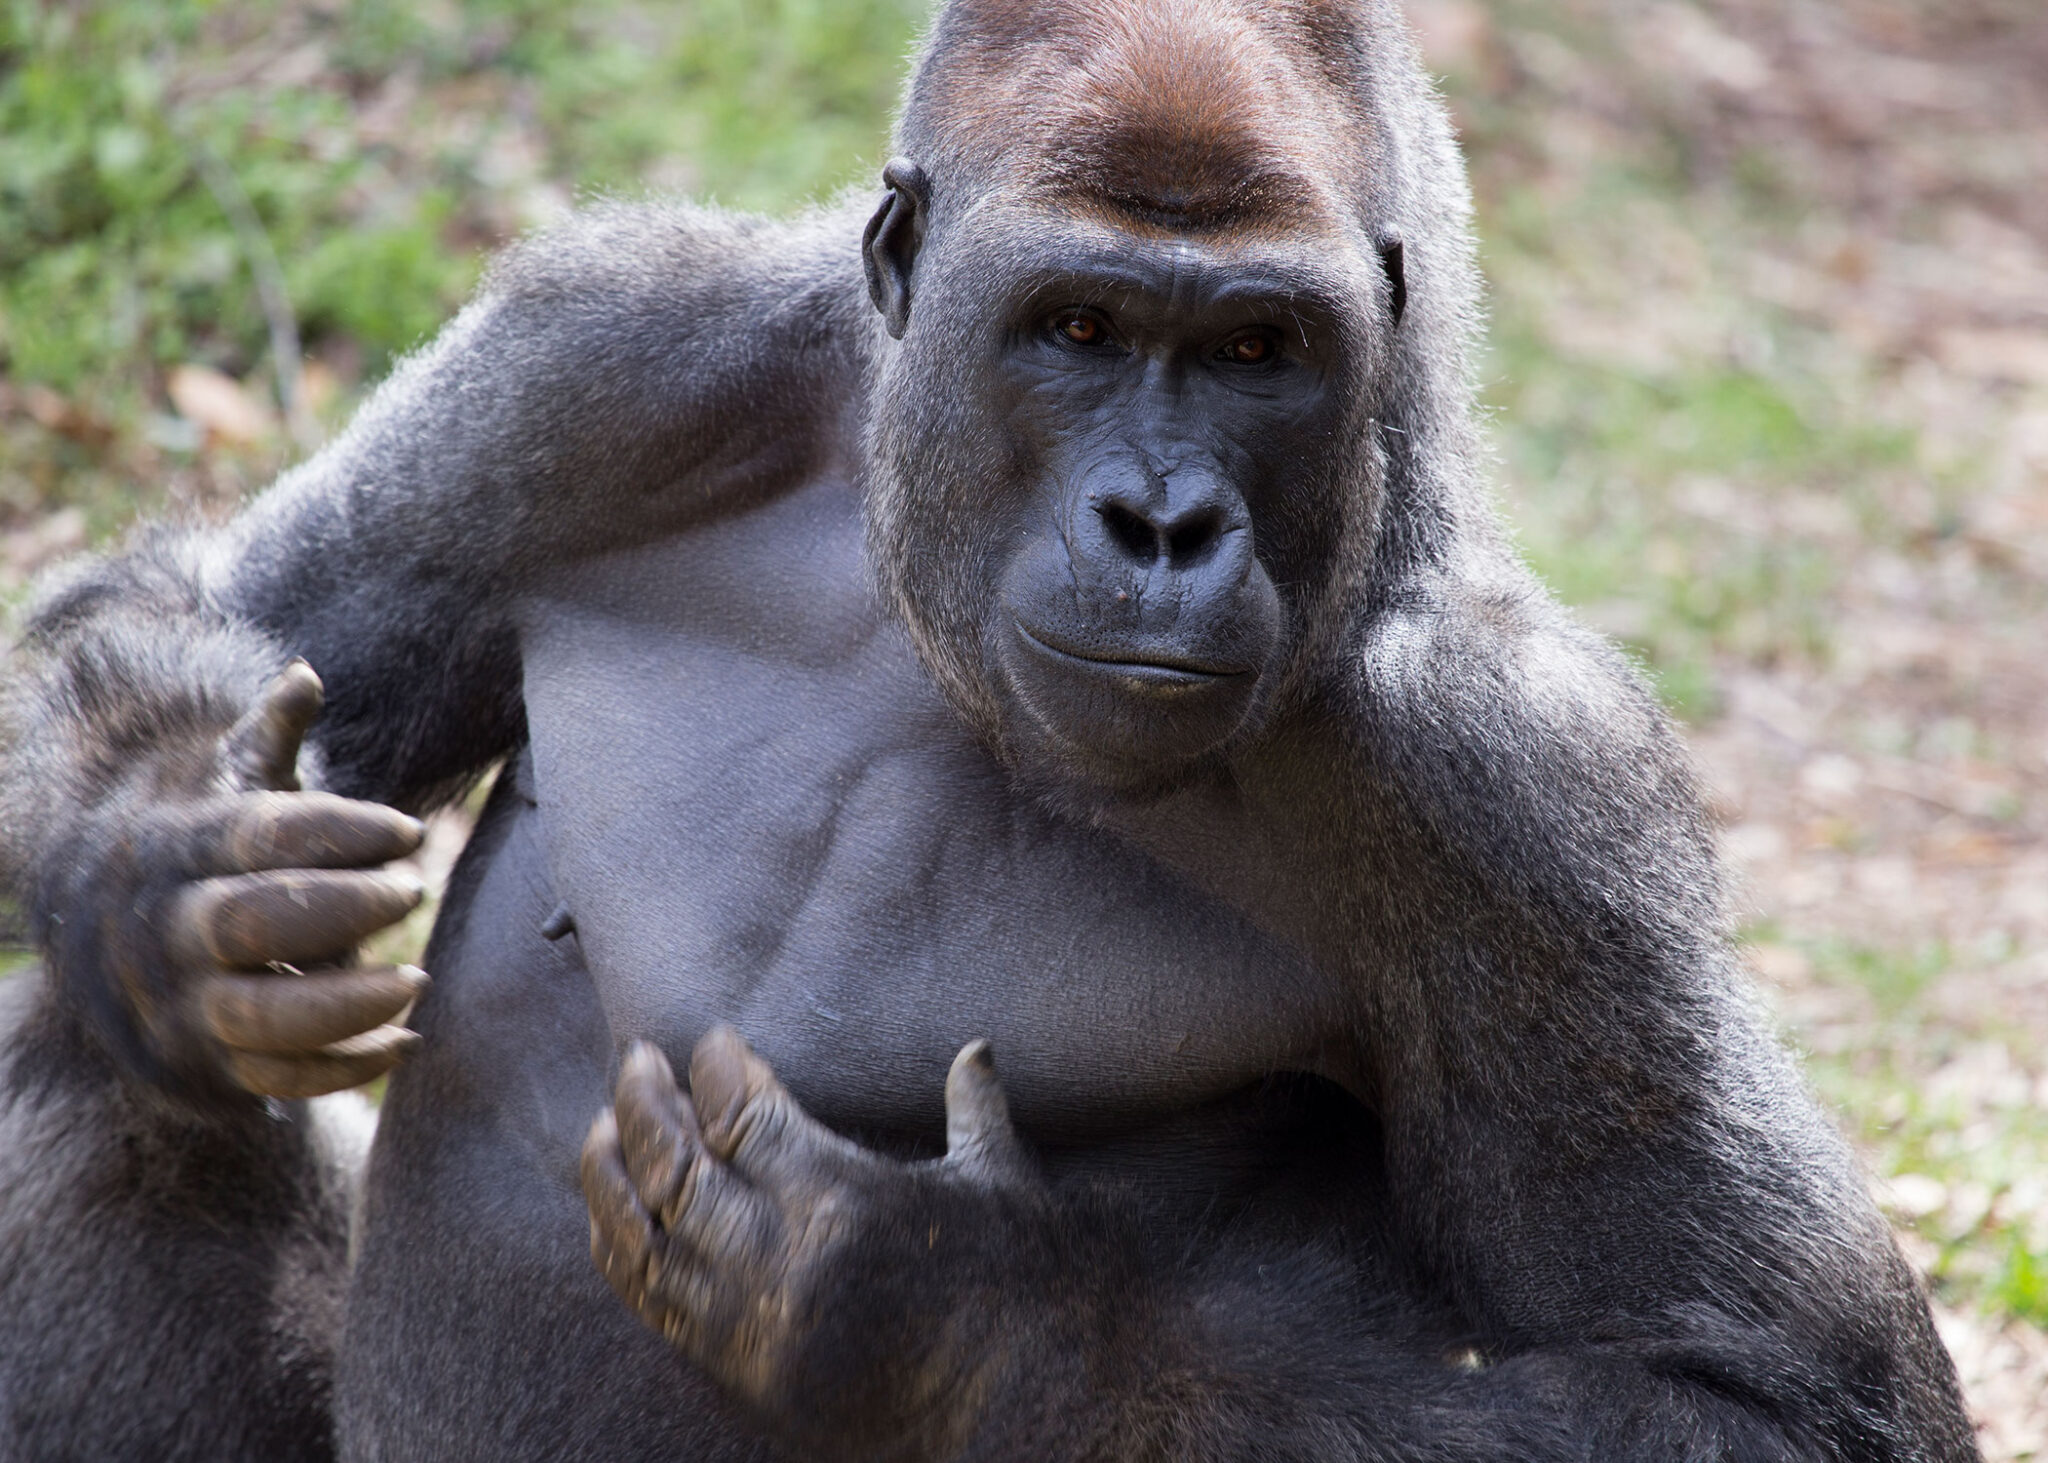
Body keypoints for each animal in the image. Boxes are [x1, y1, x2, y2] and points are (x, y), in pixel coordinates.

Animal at [0, 0, 1978, 1459]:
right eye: (1078, 326)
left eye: (1259, 351)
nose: (1161, 523)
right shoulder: (614, 348)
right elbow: (229, 612)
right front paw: (166, 871)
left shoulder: (1523, 782)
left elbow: (1756, 1384)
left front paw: (956, 1312)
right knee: (103, 1061)